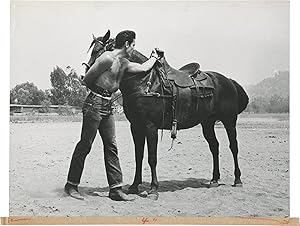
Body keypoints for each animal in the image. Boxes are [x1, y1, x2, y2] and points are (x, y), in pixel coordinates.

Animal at [81, 30, 248, 200]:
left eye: (97, 51)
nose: (84, 75)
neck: (144, 82)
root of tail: (228, 81)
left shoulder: (150, 126)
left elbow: (152, 158)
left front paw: (153, 189)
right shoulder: (136, 126)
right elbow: (139, 156)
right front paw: (134, 186)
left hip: (229, 121)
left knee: (233, 147)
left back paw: (237, 180)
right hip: (207, 123)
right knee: (214, 146)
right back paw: (214, 179)